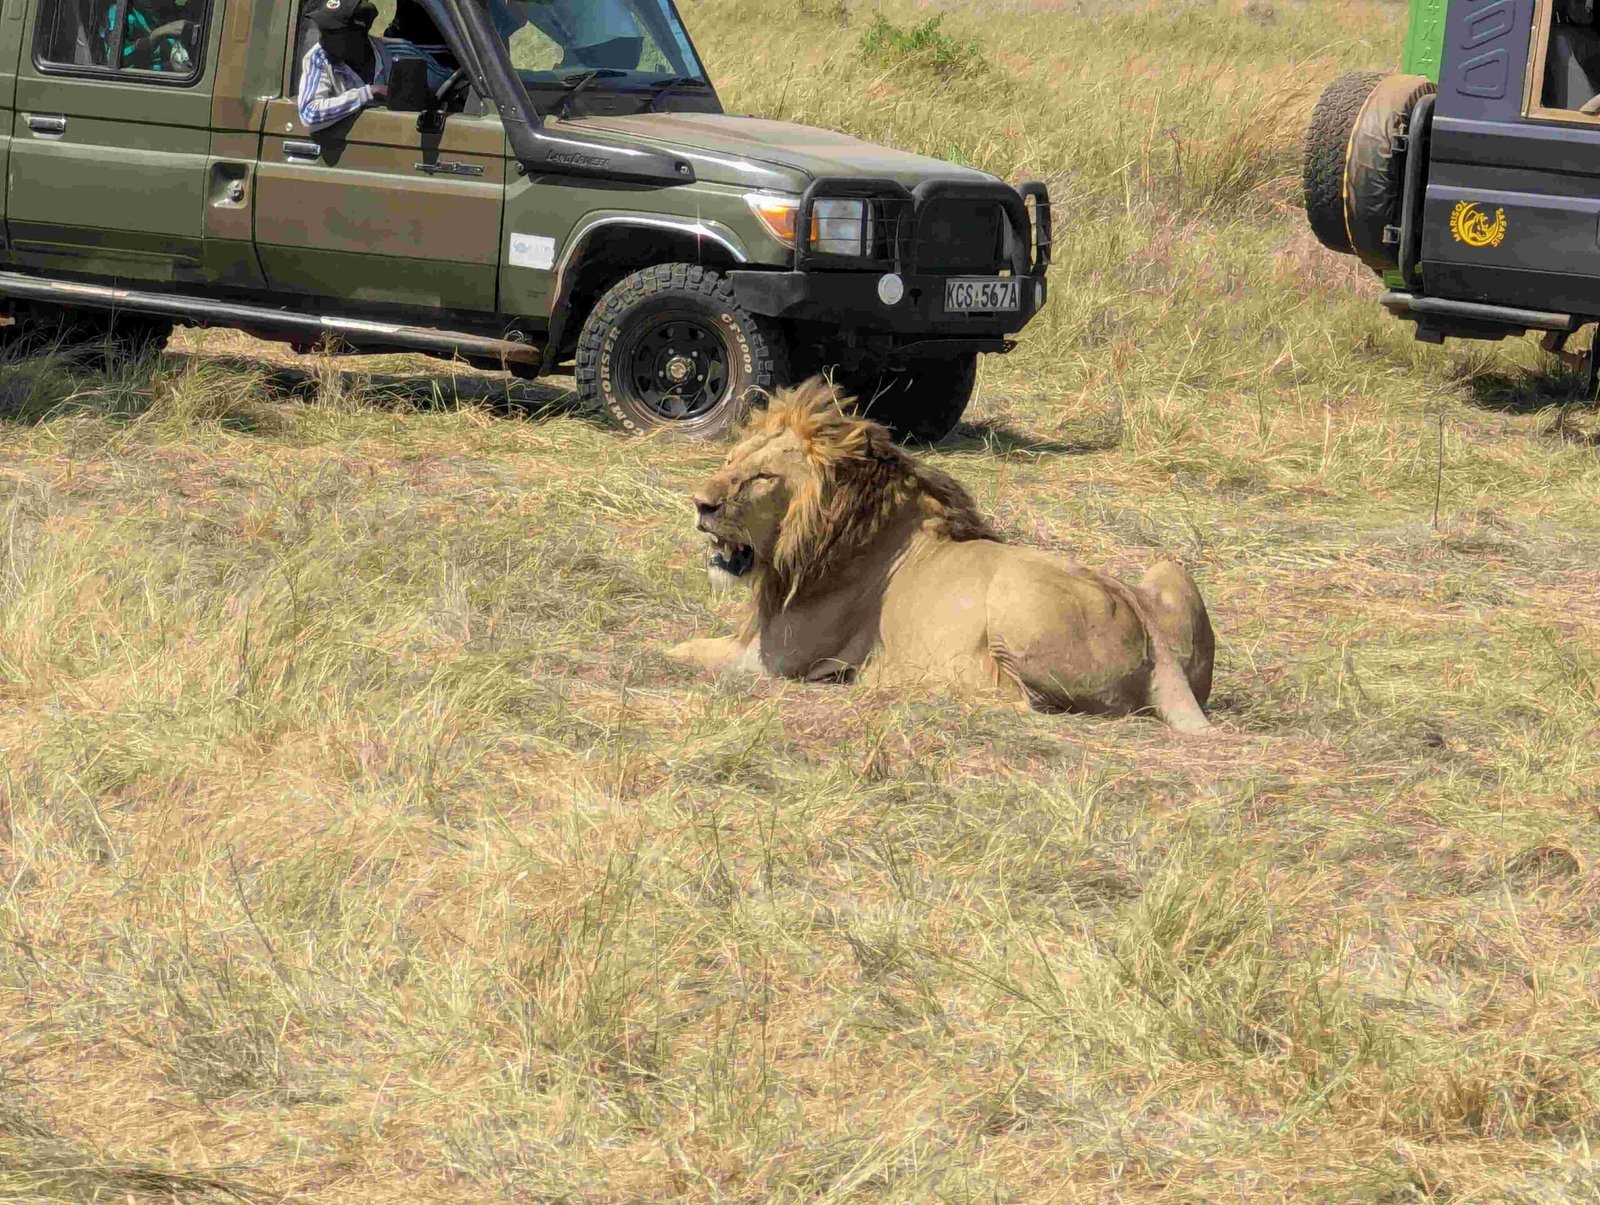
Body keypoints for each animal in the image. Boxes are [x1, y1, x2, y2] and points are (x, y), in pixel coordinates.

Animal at [668, 379, 1216, 732]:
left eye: (763, 477)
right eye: (730, 460)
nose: (699, 503)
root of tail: (1156, 641)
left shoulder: (774, 663)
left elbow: (681, 652)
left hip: (1013, 593)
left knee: (1022, 703)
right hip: (1168, 568)